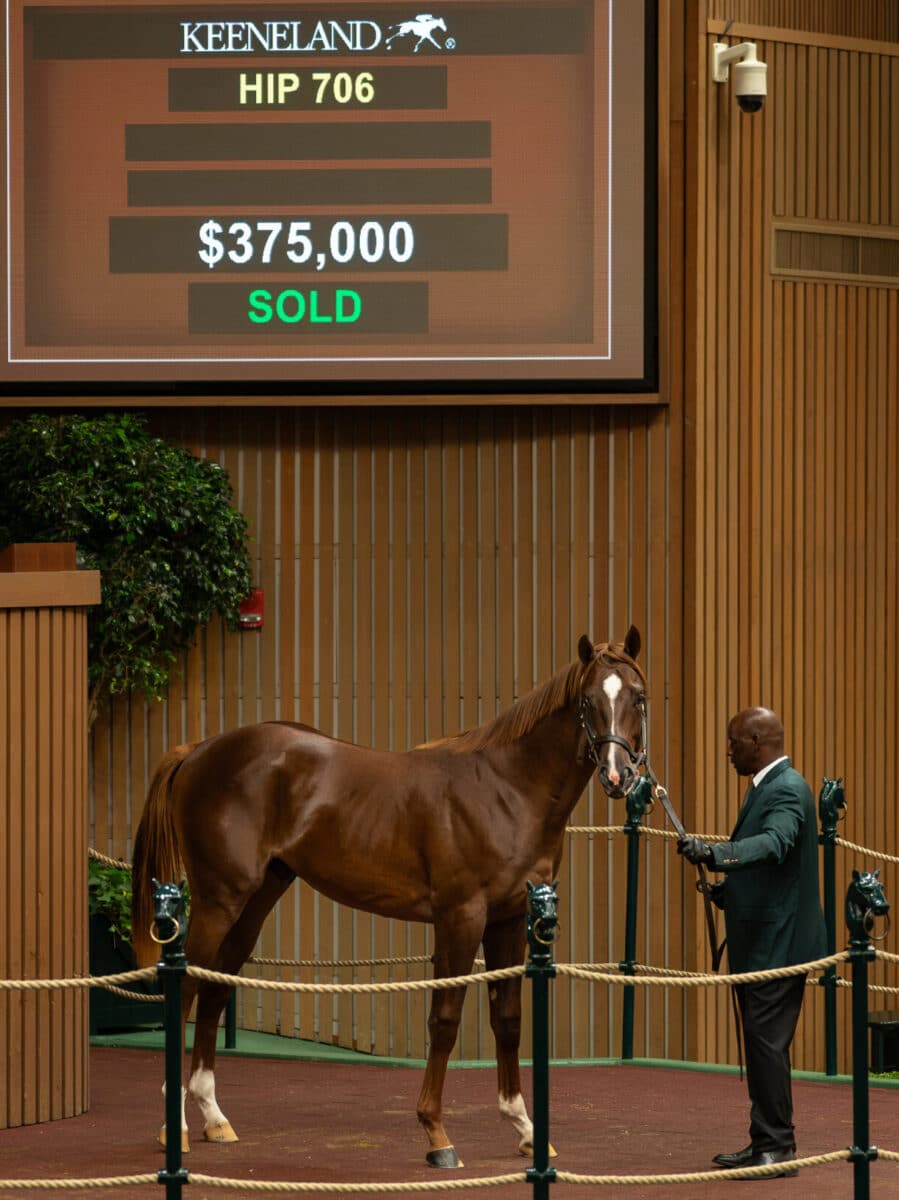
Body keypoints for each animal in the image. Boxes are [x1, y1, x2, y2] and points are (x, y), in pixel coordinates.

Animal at [131, 628, 643, 1161]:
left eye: (638, 698)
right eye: (587, 701)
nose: (618, 775)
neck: (507, 789)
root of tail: (199, 749)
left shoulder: (509, 920)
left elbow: (508, 1019)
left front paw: (524, 1128)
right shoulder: (460, 918)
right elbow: (445, 1019)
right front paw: (436, 1134)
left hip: (254, 901)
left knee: (213, 988)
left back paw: (213, 1118)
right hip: (218, 900)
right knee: (186, 988)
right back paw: (174, 1126)